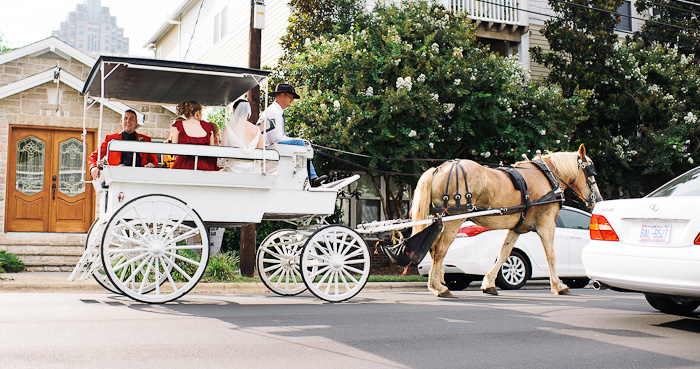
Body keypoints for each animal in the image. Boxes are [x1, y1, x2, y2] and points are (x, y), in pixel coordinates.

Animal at [410, 143, 600, 296]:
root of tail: (438, 169)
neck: (548, 177)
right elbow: (551, 255)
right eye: (591, 171)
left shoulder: (517, 228)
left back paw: (437, 283)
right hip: (454, 219)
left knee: (433, 248)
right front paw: (559, 286)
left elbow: (504, 253)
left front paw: (489, 284)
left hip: (441, 218)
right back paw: (439, 288)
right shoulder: (546, 224)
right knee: (440, 249)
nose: (597, 198)